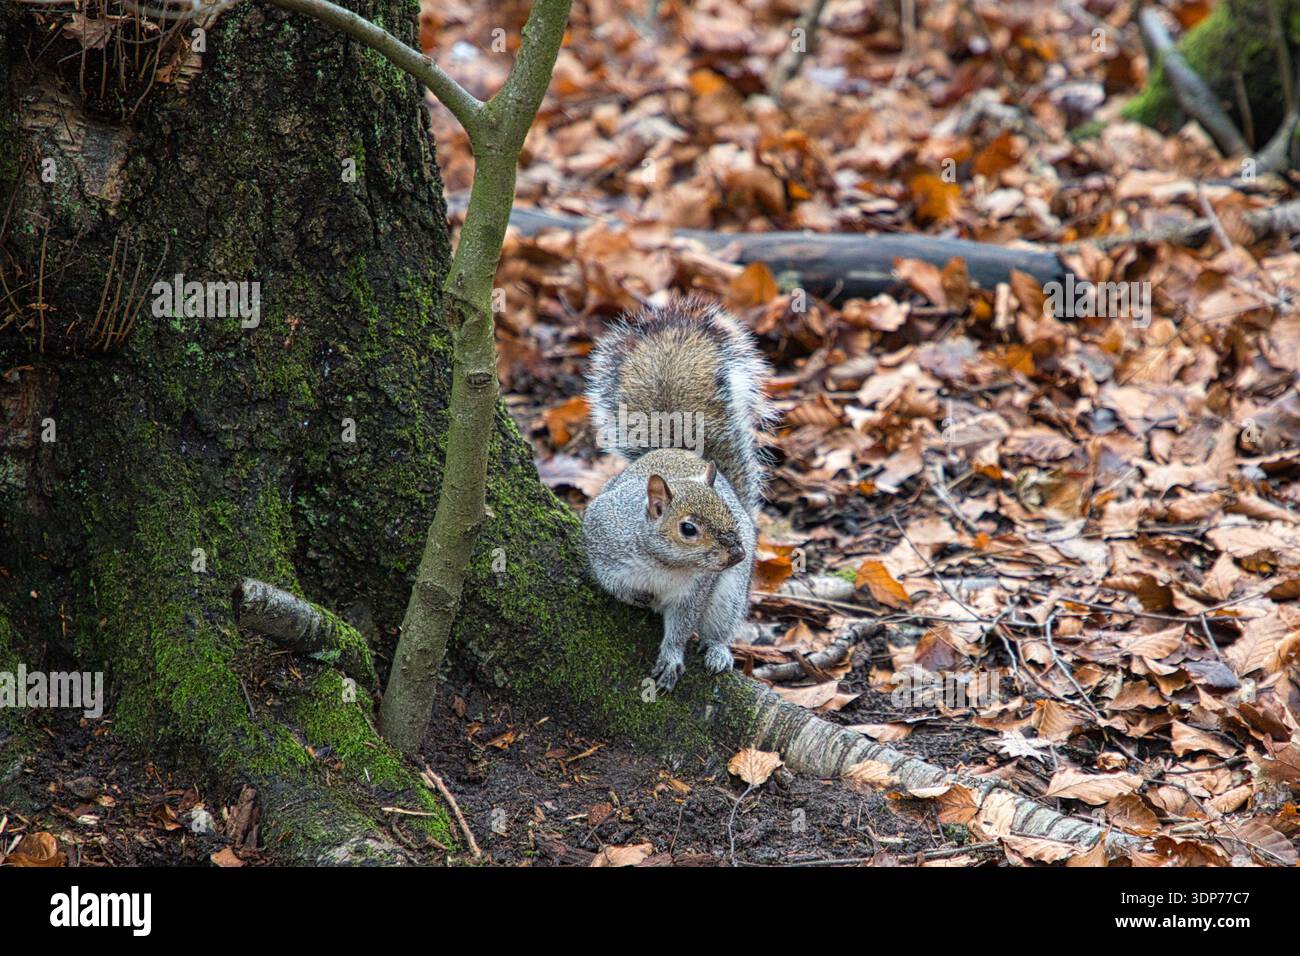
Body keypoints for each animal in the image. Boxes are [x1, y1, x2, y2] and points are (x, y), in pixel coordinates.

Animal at [582, 296, 773, 692]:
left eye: (729, 514)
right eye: (688, 529)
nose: (738, 555)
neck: (664, 564)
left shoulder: (696, 591)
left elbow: (682, 626)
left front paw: (671, 658)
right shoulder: (602, 539)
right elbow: (612, 584)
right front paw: (638, 596)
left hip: (730, 595)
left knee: (720, 625)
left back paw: (718, 651)